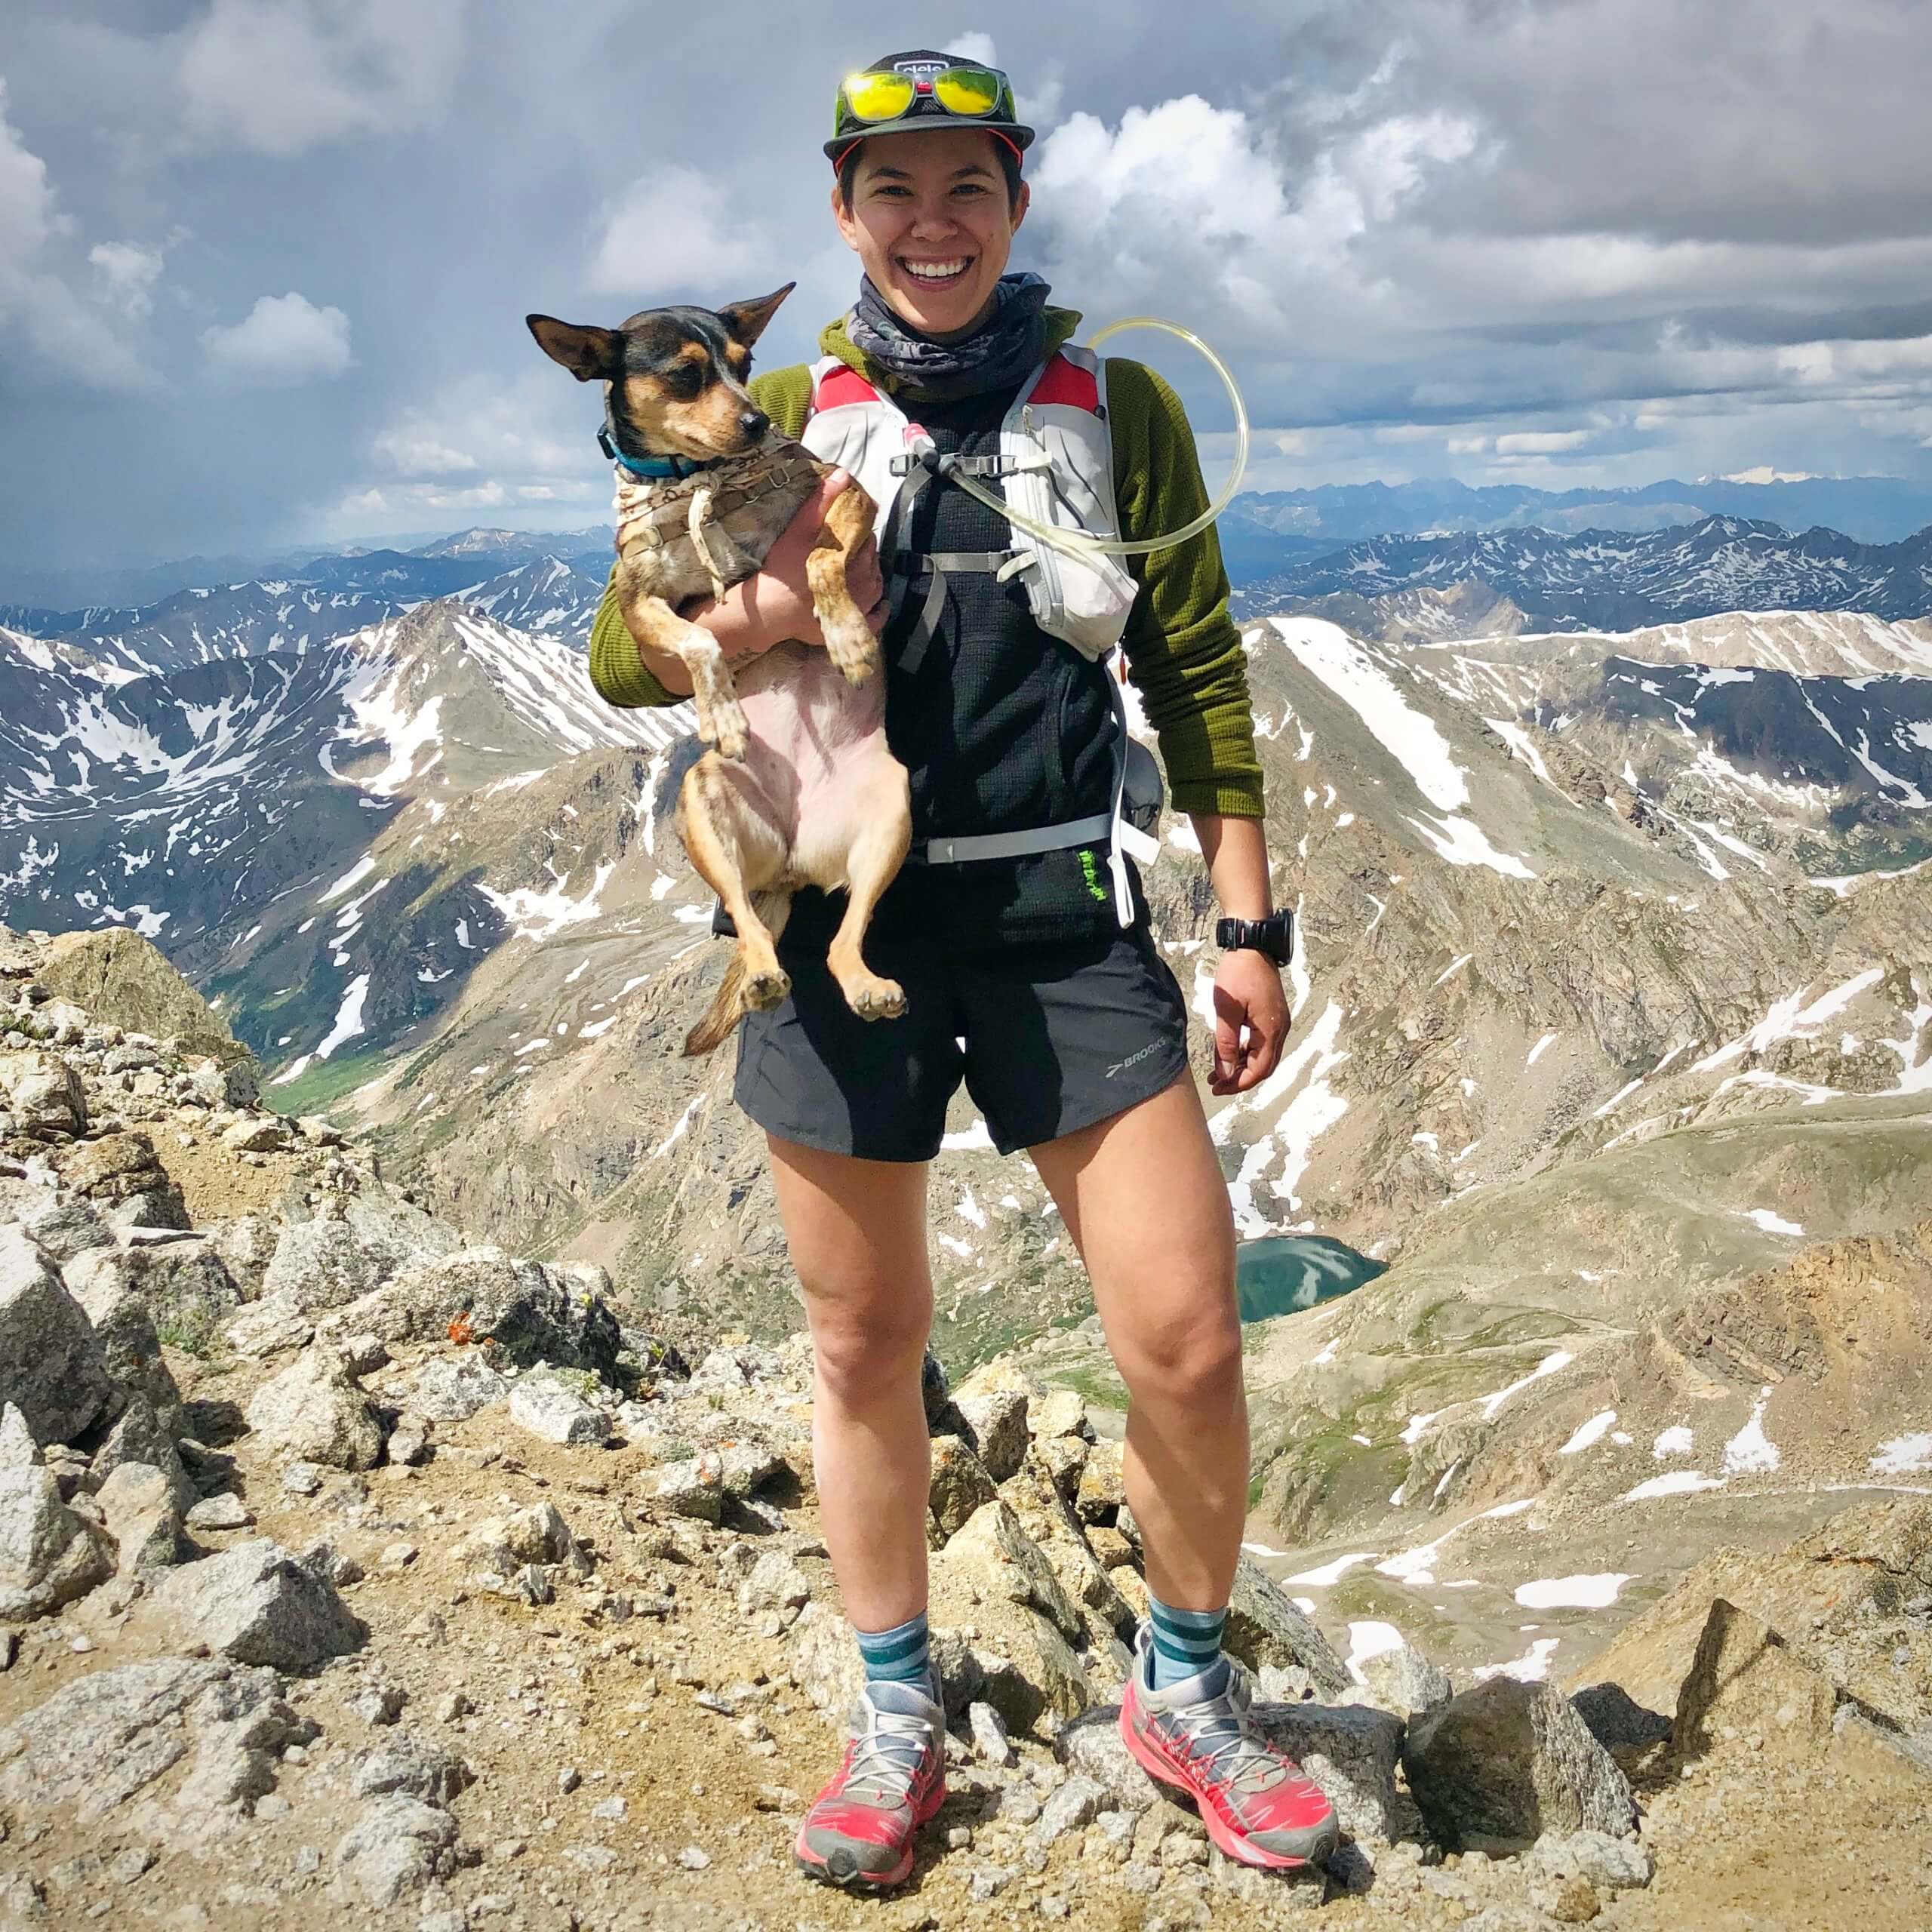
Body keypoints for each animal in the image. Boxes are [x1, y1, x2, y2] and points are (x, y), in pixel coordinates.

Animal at [529, 281, 912, 1058]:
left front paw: (849, 639)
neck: (696, 486)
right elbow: (702, 642)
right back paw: (763, 974)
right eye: (685, 374)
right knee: (748, 922)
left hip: (893, 805)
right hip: (703, 802)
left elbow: (821, 559)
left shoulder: (844, 498)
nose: (758, 421)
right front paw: (723, 713)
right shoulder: (642, 603)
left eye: (745, 363)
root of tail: (792, 861)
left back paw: (865, 984)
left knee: (838, 944)